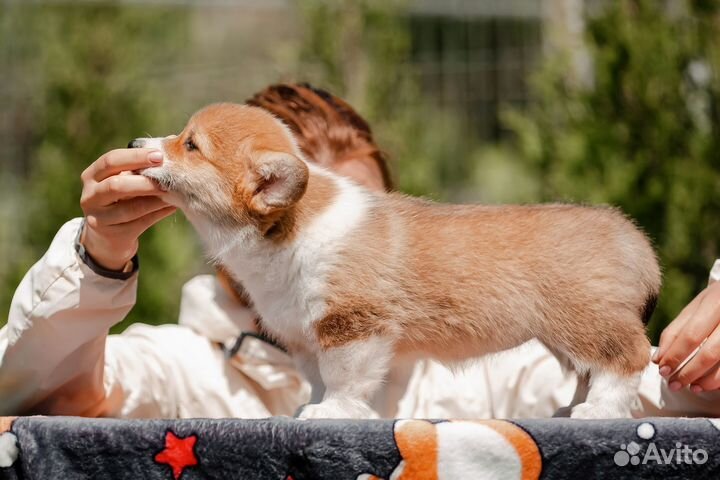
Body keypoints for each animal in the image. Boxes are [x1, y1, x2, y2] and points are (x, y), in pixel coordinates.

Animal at [132, 103, 660, 418]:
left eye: (191, 145)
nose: (136, 145)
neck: (288, 230)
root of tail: (632, 237)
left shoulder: (353, 326)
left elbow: (343, 380)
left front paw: (333, 413)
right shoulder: (303, 336)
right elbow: (316, 379)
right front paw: (310, 408)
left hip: (586, 319)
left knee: (629, 358)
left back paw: (598, 412)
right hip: (565, 334)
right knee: (589, 372)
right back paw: (572, 409)